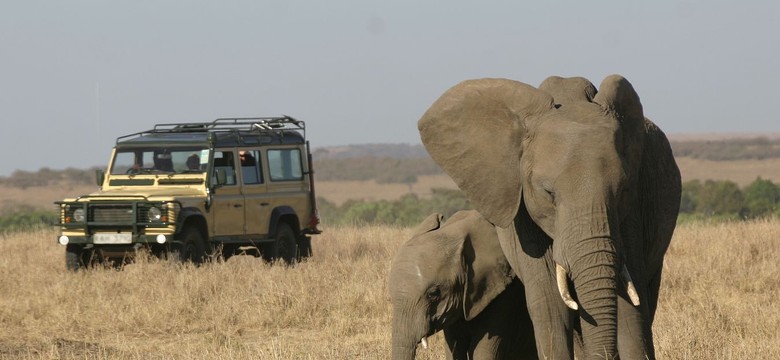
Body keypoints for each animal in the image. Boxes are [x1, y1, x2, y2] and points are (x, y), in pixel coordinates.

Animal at [418, 74, 680, 358]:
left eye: (623, 189)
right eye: (548, 192)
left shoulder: (631, 210)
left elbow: (631, 311)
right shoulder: (522, 214)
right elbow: (551, 308)